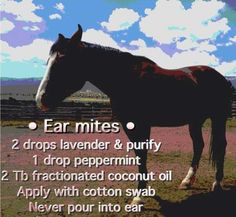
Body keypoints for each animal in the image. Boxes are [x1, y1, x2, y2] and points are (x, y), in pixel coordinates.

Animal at [35, 24, 232, 204]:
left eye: (64, 61)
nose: (40, 99)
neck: (126, 79)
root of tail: (221, 77)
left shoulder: (141, 125)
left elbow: (142, 154)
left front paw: (139, 196)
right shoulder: (129, 125)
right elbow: (139, 155)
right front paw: (145, 190)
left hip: (218, 117)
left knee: (220, 146)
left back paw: (217, 183)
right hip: (195, 121)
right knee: (198, 145)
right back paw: (187, 181)